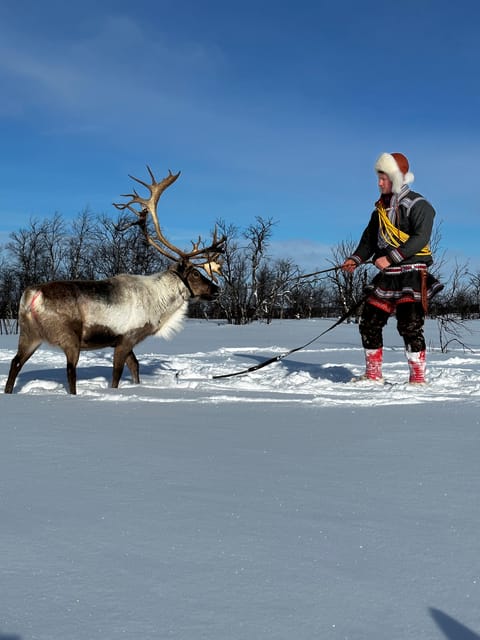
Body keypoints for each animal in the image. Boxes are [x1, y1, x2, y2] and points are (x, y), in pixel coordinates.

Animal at [4, 167, 225, 395]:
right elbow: (117, 375)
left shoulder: (123, 342)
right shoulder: (126, 338)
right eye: (196, 273)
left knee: (15, 362)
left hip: (29, 334)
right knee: (70, 372)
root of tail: (32, 295)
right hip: (69, 337)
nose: (216, 289)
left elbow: (135, 366)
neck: (159, 304)